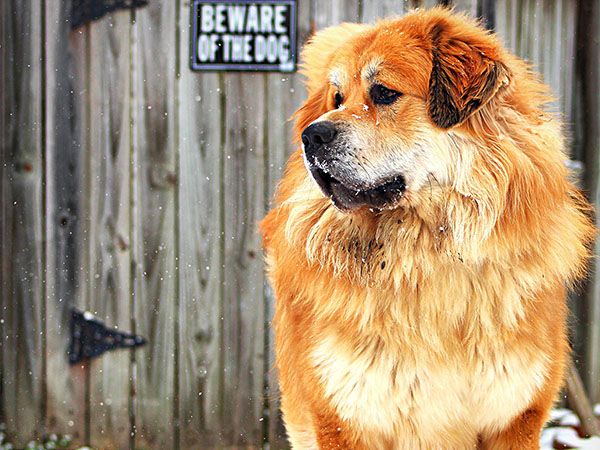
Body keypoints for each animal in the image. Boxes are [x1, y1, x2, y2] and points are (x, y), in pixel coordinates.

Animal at [260, 7, 592, 450]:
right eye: (338, 99)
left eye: (384, 93)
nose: (311, 135)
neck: (429, 258)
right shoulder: (343, 417)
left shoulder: (516, 414)